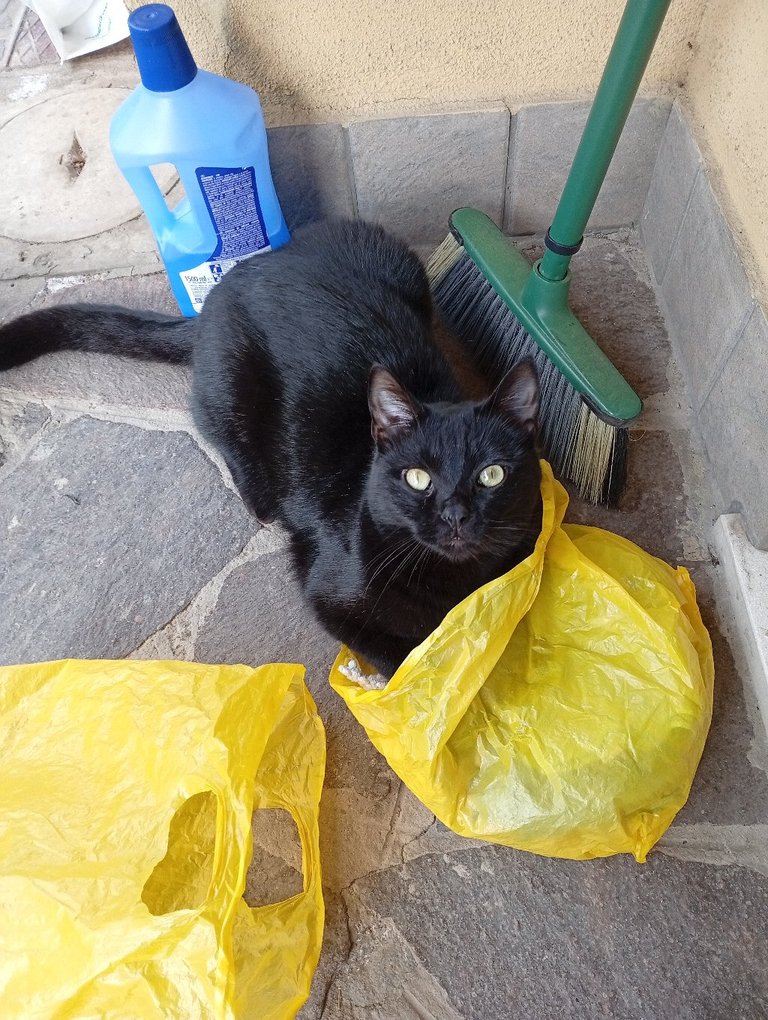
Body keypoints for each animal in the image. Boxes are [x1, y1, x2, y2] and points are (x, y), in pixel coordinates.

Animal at [0, 219, 542, 678]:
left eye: (492, 475)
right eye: (418, 478)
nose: (455, 515)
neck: (454, 584)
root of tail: (232, 282)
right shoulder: (329, 596)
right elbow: (401, 659)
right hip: (229, 389)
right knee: (217, 430)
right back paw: (260, 497)